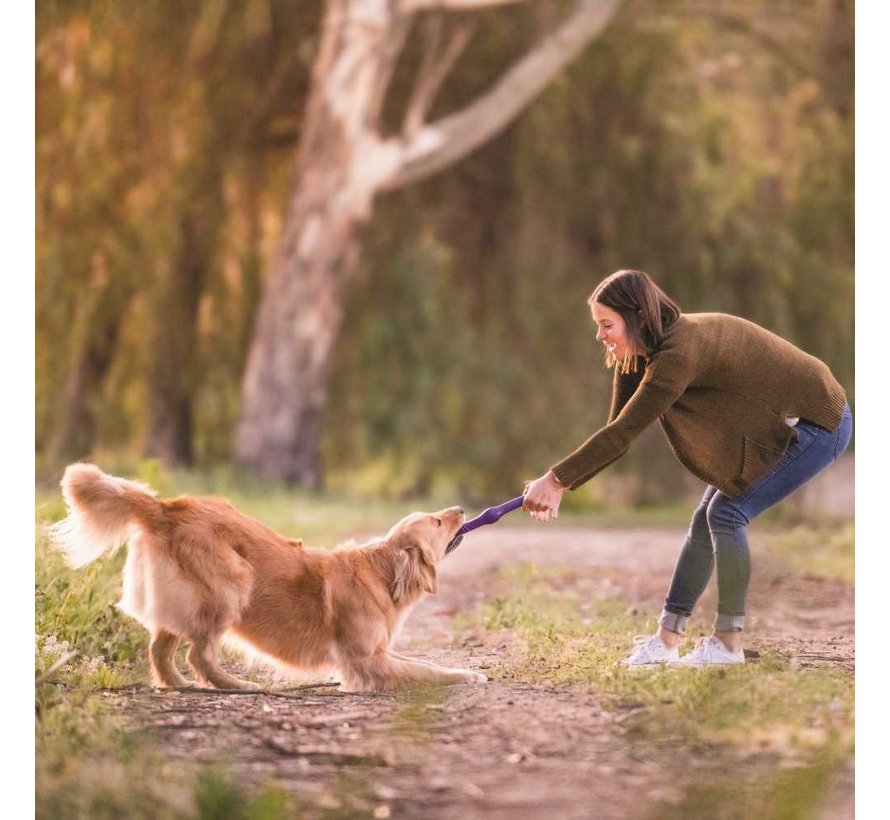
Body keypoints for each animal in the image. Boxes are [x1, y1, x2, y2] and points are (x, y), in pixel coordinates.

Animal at [48, 462, 486, 692]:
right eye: (436, 521)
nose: (462, 509)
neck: (382, 575)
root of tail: (168, 507)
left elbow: (422, 663)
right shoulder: (368, 659)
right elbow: (427, 670)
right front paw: (468, 674)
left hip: (182, 600)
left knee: (161, 651)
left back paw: (181, 685)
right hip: (232, 583)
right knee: (198, 653)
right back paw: (237, 686)